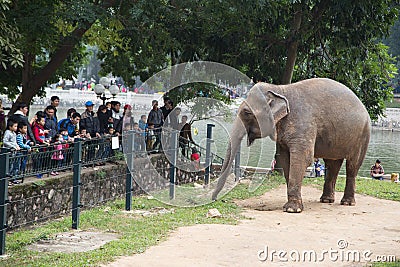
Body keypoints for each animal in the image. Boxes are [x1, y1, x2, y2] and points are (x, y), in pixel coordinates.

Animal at [212, 78, 372, 214]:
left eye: (246, 112)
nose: (216, 200)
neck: (279, 89)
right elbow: (284, 159)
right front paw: (292, 206)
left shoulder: (303, 123)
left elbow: (302, 158)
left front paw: (292, 209)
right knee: (332, 164)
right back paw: (326, 200)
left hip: (363, 135)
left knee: (352, 166)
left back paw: (347, 203)